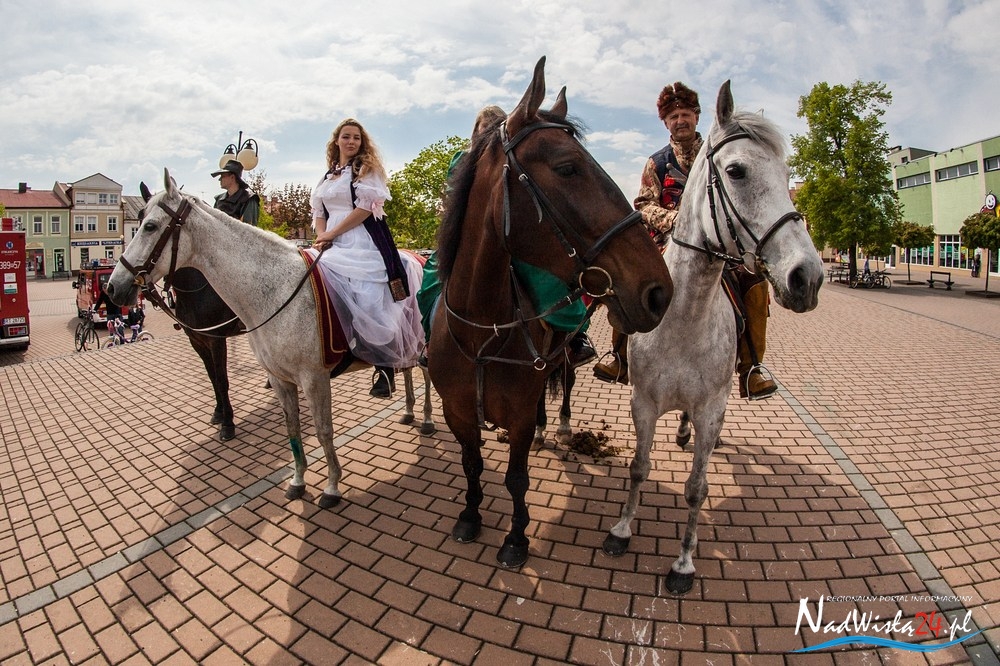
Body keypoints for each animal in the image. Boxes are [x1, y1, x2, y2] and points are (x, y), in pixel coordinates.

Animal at [107, 174, 434, 507]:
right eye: (139, 221)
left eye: (150, 226)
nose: (114, 287)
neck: (277, 290)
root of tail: (420, 256)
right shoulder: (279, 378)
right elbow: (292, 427)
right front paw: (298, 481)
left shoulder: (314, 378)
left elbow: (323, 430)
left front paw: (331, 486)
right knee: (408, 368)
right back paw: (408, 410)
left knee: (425, 374)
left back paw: (425, 418)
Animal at [429, 56, 673, 569]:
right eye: (567, 167)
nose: (658, 291)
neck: (483, 334)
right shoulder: (457, 413)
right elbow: (472, 464)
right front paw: (470, 516)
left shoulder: (519, 415)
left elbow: (516, 479)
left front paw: (516, 538)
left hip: (564, 357)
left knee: (564, 382)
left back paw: (557, 424)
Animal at [601, 81, 824, 594]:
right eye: (736, 170)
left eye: (788, 174)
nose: (808, 277)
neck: (685, 318)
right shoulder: (643, 402)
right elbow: (639, 468)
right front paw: (621, 530)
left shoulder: (711, 407)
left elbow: (697, 488)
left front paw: (683, 561)